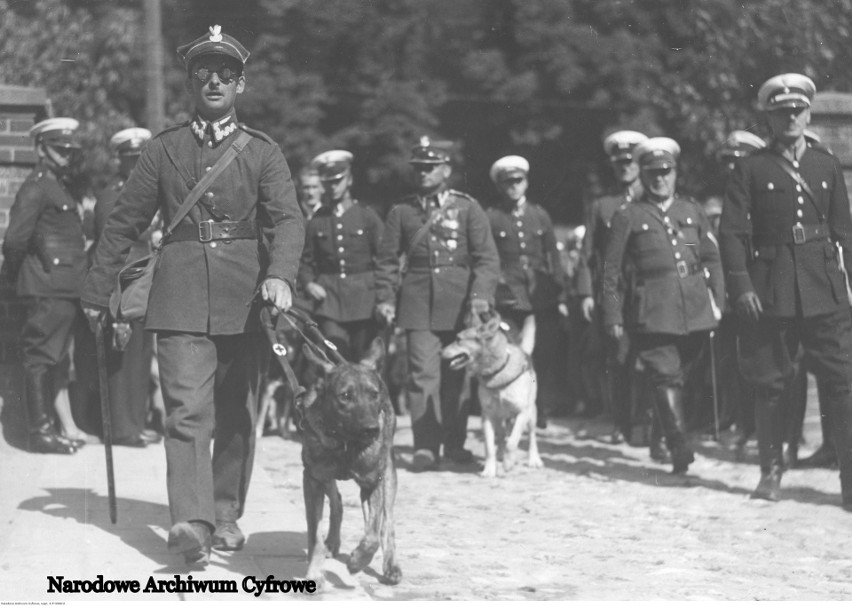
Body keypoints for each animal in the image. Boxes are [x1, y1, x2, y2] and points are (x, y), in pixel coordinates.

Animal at [298, 338, 402, 588]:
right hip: (327, 478)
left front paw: (357, 561)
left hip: (388, 476)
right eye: (345, 396)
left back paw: (391, 566)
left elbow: (373, 535)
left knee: (387, 524)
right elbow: (314, 535)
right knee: (337, 503)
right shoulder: (313, 480)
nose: (372, 429)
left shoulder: (373, 482)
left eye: (374, 395)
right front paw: (314, 573)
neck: (346, 444)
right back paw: (332, 542)